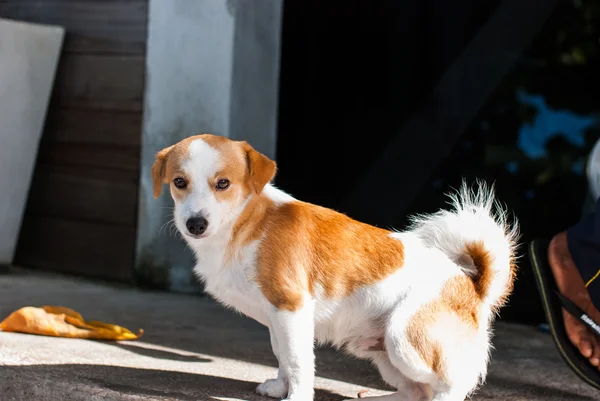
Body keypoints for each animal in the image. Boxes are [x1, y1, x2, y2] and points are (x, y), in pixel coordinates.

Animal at [152, 134, 516, 400]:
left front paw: (296, 397)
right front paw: (280, 387)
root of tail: (471, 285)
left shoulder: (292, 309)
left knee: (450, 385)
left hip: (403, 338)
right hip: (383, 352)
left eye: (223, 184)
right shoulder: (279, 317)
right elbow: (282, 355)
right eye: (179, 182)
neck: (248, 223)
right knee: (417, 392)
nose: (195, 223)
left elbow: (298, 361)